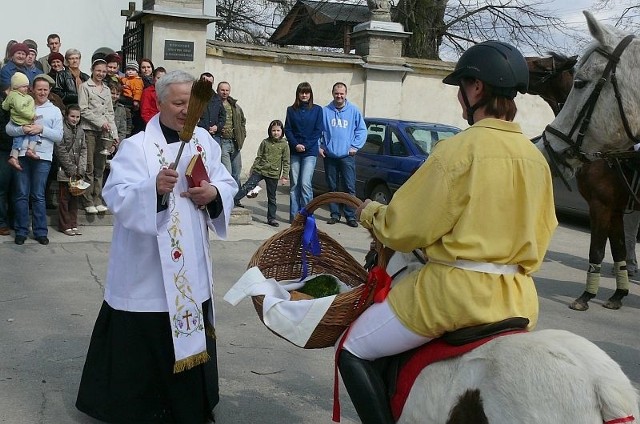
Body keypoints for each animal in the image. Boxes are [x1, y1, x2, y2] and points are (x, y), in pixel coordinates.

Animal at [528, 53, 636, 312]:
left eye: (540, 64)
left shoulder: (600, 206)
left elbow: (596, 251)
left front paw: (586, 296)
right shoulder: (615, 210)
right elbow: (618, 252)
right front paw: (618, 295)